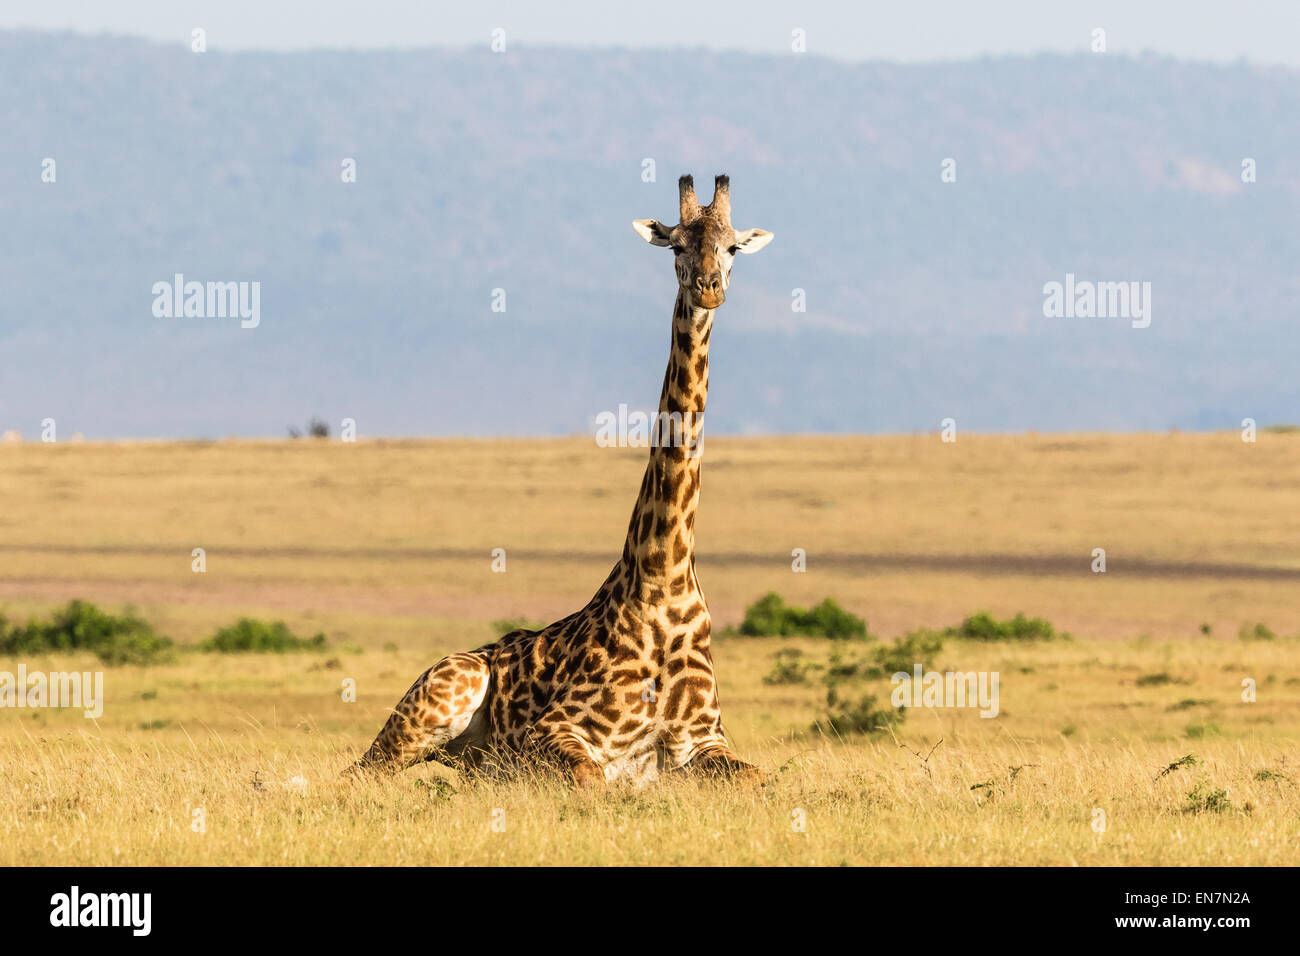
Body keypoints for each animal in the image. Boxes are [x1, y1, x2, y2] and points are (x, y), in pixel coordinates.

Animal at [345, 175, 769, 790]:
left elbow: (762, 778)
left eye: (733, 246)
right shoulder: (550, 733)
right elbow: (590, 778)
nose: (709, 288)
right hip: (435, 701)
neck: (664, 582)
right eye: (675, 244)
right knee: (359, 770)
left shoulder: (705, 740)